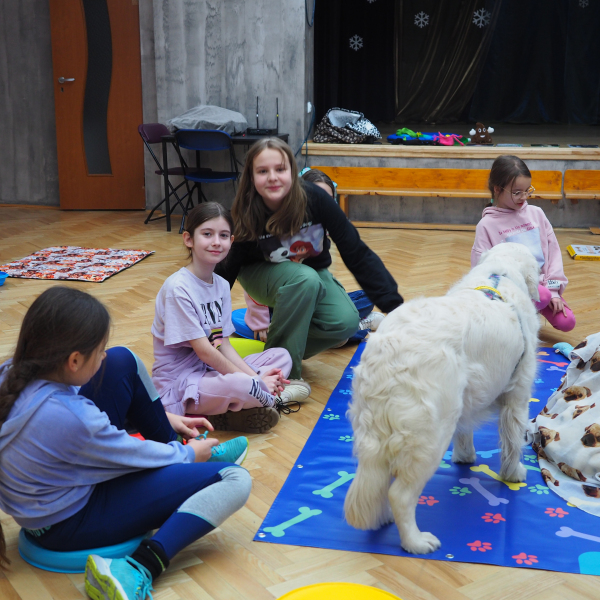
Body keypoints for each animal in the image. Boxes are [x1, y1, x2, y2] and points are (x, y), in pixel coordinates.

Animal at [344, 243, 540, 554]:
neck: (500, 272)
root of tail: (388, 354)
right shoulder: (517, 395)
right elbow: (512, 442)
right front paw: (513, 473)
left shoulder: (468, 396)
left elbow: (465, 430)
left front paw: (465, 457)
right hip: (429, 437)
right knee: (400, 494)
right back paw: (415, 541)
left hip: (379, 433)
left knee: (380, 484)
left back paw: (382, 517)